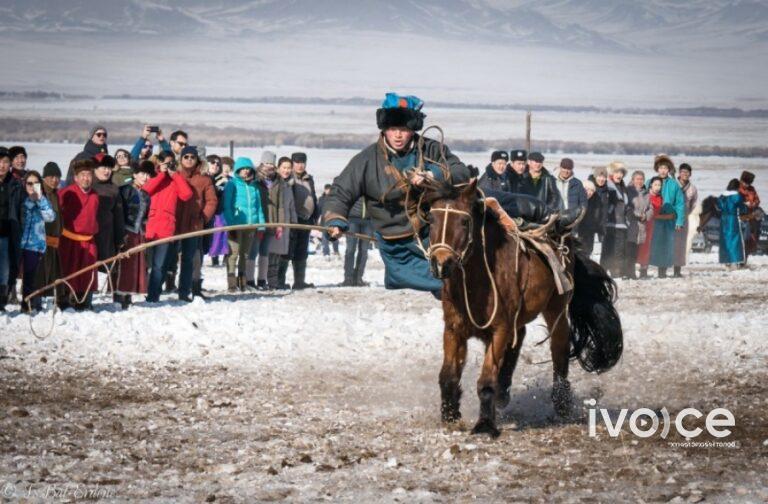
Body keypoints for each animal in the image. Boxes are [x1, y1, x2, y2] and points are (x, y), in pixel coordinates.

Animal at [420, 178, 624, 438]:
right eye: (432, 219)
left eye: (465, 221)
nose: (441, 263)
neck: (478, 278)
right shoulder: (454, 329)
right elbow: (448, 375)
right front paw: (450, 416)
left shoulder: (499, 329)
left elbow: (486, 380)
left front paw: (485, 425)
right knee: (519, 340)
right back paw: (504, 392)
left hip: (556, 309)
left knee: (559, 347)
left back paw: (561, 402)